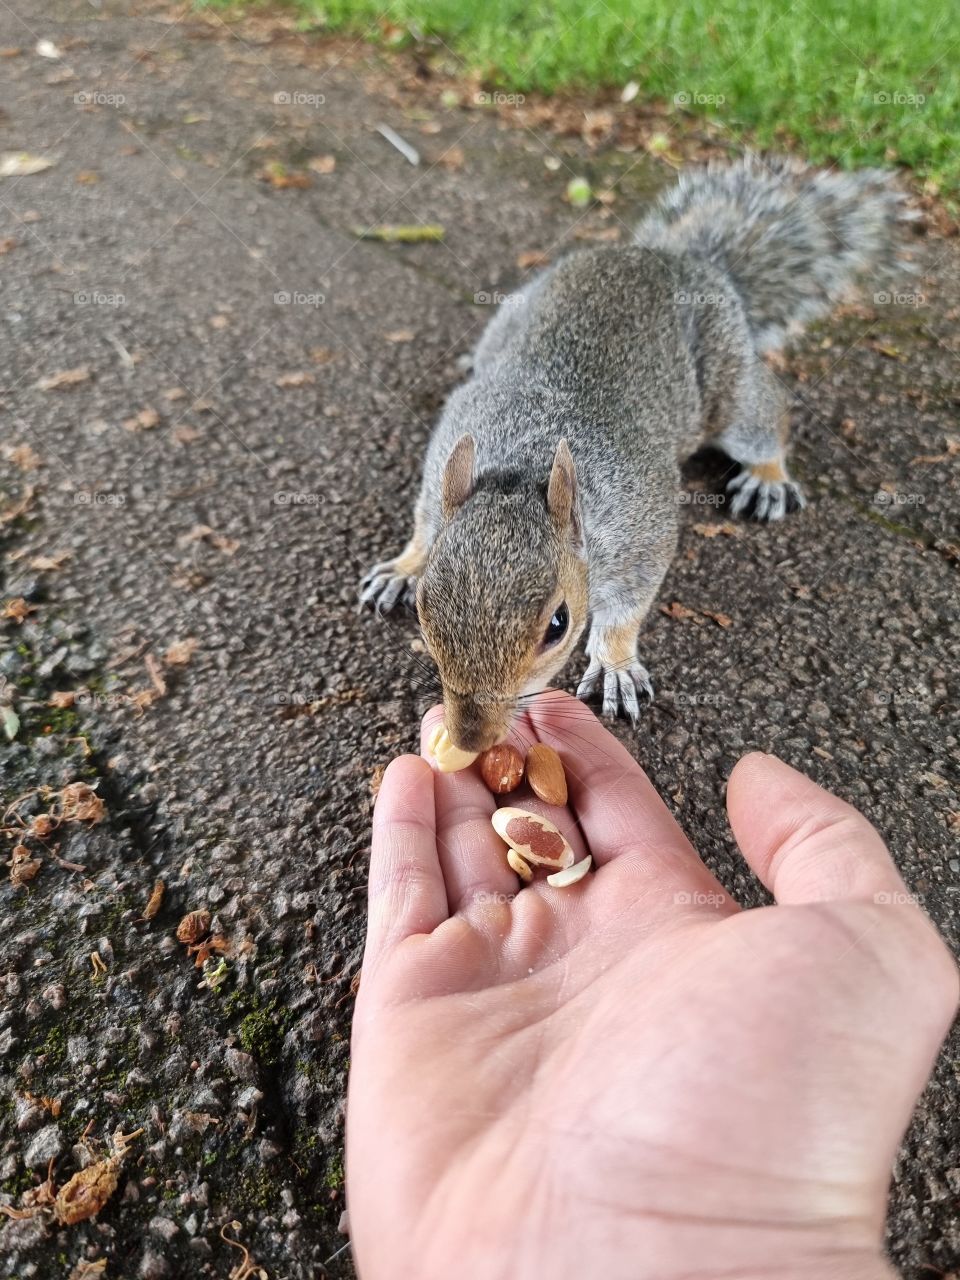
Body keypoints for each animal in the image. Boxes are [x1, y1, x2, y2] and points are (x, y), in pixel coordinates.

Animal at [360, 155, 910, 753]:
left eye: (558, 625)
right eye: (424, 607)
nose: (470, 738)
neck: (524, 464)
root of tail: (676, 259)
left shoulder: (641, 526)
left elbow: (629, 601)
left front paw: (615, 664)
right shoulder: (446, 453)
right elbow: (424, 524)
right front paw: (403, 567)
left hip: (727, 392)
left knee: (763, 411)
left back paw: (766, 475)